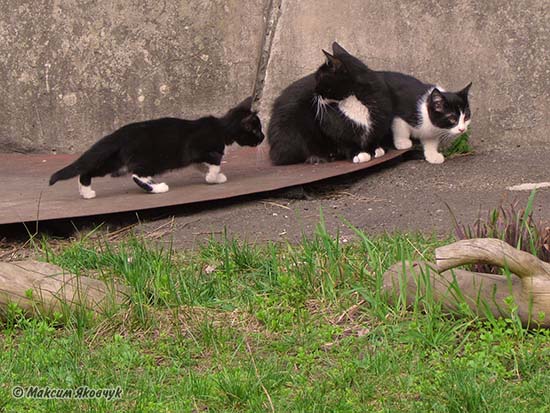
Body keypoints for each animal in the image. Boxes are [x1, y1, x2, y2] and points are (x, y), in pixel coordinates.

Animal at [48, 97, 264, 200]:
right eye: (256, 130)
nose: (262, 137)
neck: (222, 128)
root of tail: (120, 134)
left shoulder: (197, 158)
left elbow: (204, 166)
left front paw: (215, 177)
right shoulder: (198, 149)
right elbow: (215, 161)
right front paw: (213, 177)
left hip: (114, 161)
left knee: (88, 171)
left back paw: (86, 192)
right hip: (149, 159)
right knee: (137, 175)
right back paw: (158, 187)